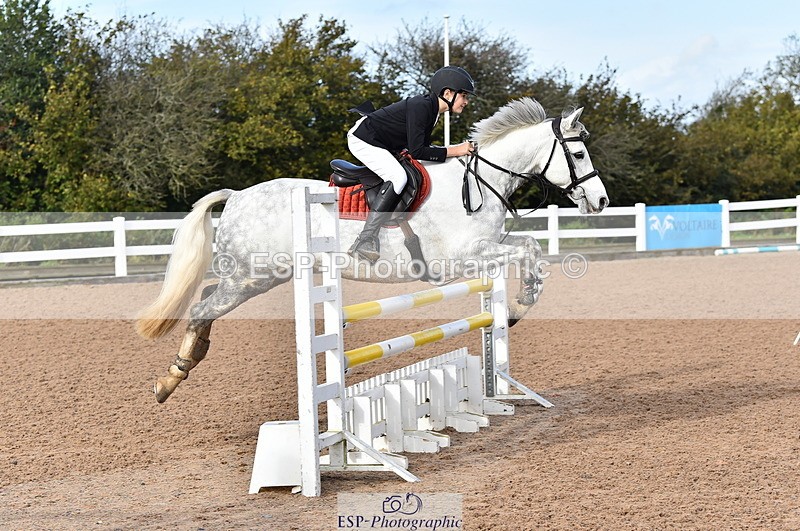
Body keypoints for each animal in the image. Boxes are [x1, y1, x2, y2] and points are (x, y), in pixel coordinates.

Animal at [136, 97, 609, 403]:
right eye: (579, 153)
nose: (601, 201)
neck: (479, 181)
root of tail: (236, 196)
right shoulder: (463, 256)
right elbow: (529, 253)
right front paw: (521, 303)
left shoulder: (489, 246)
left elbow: (530, 246)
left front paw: (511, 312)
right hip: (252, 276)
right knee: (203, 308)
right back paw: (171, 379)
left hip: (253, 275)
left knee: (204, 301)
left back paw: (183, 366)